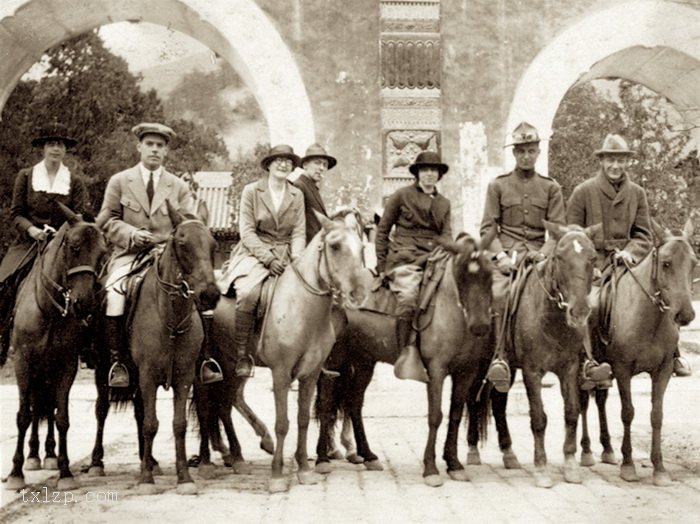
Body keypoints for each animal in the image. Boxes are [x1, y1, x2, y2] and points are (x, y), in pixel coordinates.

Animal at [4, 203, 106, 490]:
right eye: (74, 247)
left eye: (102, 253)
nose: (85, 302)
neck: (49, 310)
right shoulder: (23, 363)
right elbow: (23, 416)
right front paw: (15, 473)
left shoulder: (65, 365)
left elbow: (61, 418)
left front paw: (65, 471)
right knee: (35, 407)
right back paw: (33, 456)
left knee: (48, 408)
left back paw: (47, 454)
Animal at [88, 204, 219, 496]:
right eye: (182, 243)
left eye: (213, 244)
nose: (210, 295)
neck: (170, 316)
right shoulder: (147, 376)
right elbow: (150, 424)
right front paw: (146, 480)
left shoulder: (183, 376)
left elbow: (178, 425)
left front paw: (184, 477)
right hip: (104, 369)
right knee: (102, 410)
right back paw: (97, 463)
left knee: (138, 411)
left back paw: (148, 461)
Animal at [314, 233, 494, 488]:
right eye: (460, 274)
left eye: (489, 274)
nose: (480, 326)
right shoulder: (436, 371)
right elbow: (435, 416)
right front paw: (430, 468)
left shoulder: (465, 372)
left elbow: (456, 415)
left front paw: (454, 463)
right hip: (333, 361)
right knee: (326, 404)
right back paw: (322, 458)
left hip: (363, 362)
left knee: (354, 403)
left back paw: (368, 455)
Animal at [506, 221, 600, 488]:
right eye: (559, 257)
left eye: (593, 257)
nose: (579, 312)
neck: (552, 321)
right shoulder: (532, 372)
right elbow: (538, 418)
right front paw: (541, 468)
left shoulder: (569, 368)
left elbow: (571, 412)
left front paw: (570, 465)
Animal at [576, 219, 696, 486]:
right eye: (666, 263)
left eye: (694, 263)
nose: (685, 315)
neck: (649, 320)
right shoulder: (622, 370)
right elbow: (628, 412)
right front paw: (629, 465)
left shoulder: (662, 371)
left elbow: (656, 415)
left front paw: (659, 468)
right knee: (583, 402)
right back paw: (587, 452)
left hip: (604, 371)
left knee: (600, 400)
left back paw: (608, 449)